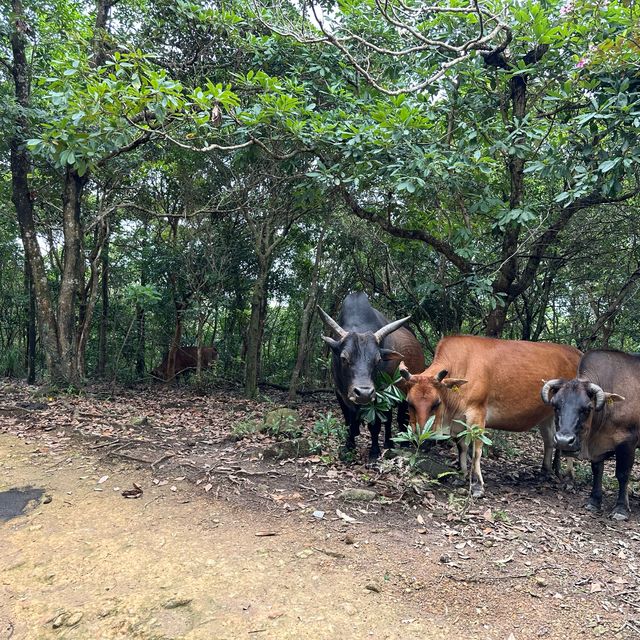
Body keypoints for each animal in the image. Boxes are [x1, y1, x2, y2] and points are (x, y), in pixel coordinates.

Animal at [316, 292, 424, 462]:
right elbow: (350, 422)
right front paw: (349, 446)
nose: (364, 393)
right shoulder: (341, 394)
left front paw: (374, 451)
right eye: (344, 358)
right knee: (388, 419)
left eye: (378, 360)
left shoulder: (380, 395)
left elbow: (375, 425)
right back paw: (388, 443)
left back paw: (403, 443)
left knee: (401, 418)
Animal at [402, 338, 584, 498]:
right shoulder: (458, 420)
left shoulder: (477, 413)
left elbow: (476, 450)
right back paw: (546, 472)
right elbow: (461, 446)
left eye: (436, 403)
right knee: (550, 439)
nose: (421, 438)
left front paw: (477, 485)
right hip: (547, 414)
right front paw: (461, 475)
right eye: (409, 402)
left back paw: (569, 478)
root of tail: (578, 353)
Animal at [540, 350, 636, 520]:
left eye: (587, 408)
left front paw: (621, 508)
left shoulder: (627, 442)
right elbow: (597, 470)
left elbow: (623, 474)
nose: (564, 441)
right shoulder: (598, 448)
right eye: (555, 406)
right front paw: (594, 501)